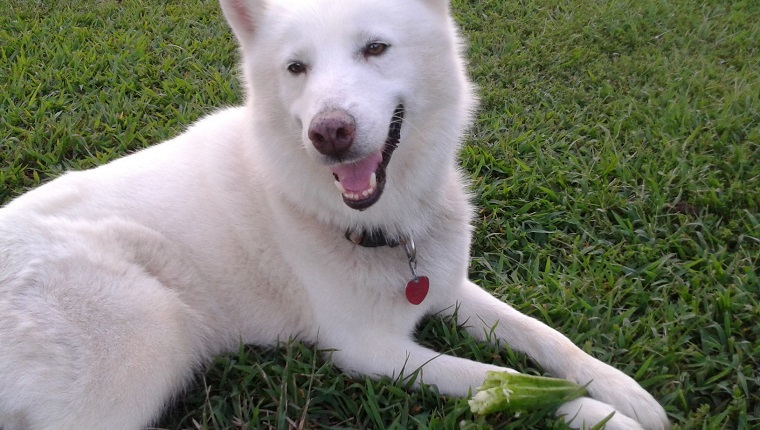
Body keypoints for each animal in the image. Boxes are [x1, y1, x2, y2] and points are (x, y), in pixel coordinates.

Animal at [0, 0, 668, 430]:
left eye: (375, 48)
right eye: (296, 68)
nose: (329, 132)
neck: (385, 228)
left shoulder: (445, 286)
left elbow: (542, 335)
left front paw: (621, 390)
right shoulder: (371, 351)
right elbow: (489, 376)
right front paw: (590, 411)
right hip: (146, 334)